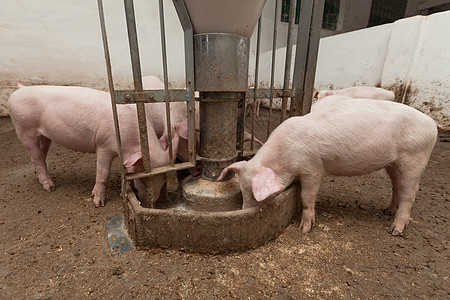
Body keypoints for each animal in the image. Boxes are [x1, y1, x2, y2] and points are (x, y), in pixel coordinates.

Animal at [7, 82, 183, 209]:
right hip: (24, 129)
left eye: (164, 178)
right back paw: (50, 187)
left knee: (41, 154)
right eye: (144, 179)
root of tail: (20, 89)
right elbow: (103, 173)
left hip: (44, 135)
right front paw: (98, 203)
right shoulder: (103, 145)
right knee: (36, 156)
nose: (148, 204)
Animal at [220, 97, 438, 236]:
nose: (244, 210)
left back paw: (395, 230)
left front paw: (304, 229)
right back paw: (387, 211)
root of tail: (433, 124)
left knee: (410, 193)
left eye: (253, 193)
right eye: (242, 190)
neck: (285, 154)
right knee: (396, 186)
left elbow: (307, 197)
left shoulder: (312, 168)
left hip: (415, 159)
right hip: (393, 163)